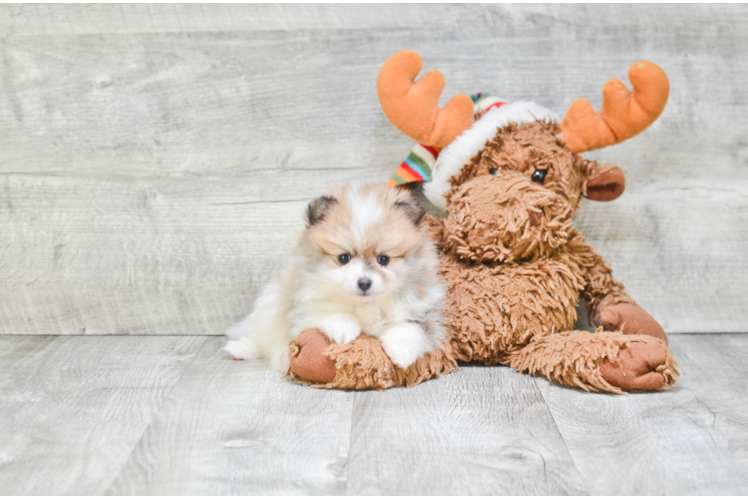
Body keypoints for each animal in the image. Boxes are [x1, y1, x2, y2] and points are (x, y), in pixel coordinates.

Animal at [222, 184, 444, 372]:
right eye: (343, 258)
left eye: (383, 259)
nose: (364, 282)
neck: (363, 305)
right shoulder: (303, 306)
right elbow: (327, 312)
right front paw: (345, 328)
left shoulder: (423, 311)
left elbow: (411, 329)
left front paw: (402, 352)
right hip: (270, 304)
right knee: (261, 336)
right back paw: (241, 349)